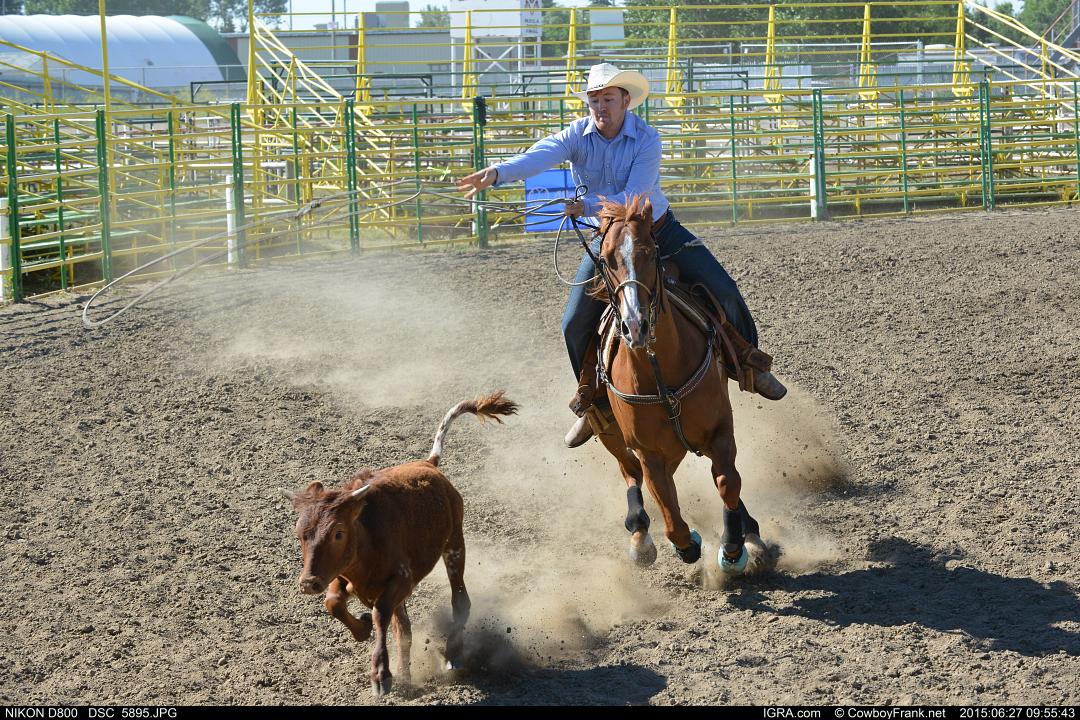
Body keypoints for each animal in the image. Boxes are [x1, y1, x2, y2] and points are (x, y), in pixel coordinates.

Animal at [282, 391, 518, 696]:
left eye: (338, 533)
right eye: (300, 533)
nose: (308, 583)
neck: (368, 539)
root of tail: (429, 463)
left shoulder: (402, 580)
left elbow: (381, 614)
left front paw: (380, 675)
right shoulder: (340, 576)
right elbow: (334, 602)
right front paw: (363, 629)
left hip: (455, 544)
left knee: (460, 601)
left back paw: (452, 656)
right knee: (404, 628)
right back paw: (407, 675)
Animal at [581, 194, 766, 573]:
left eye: (650, 252)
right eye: (606, 260)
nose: (635, 325)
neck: (659, 370)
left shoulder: (720, 429)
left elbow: (728, 483)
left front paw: (733, 548)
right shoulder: (648, 451)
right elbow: (670, 514)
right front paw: (687, 544)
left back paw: (750, 535)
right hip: (611, 435)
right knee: (630, 474)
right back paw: (639, 536)